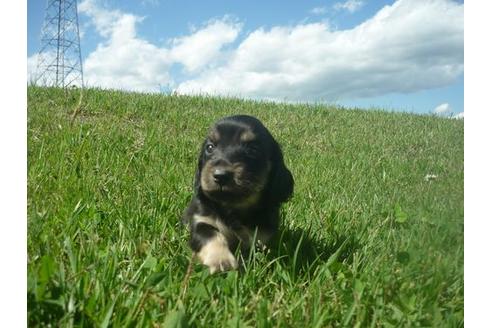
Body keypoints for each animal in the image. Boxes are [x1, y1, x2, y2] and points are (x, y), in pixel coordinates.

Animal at [183, 115, 294, 274]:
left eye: (252, 150)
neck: (233, 208)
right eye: (210, 147)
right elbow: (210, 234)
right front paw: (221, 260)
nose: (220, 176)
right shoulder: (201, 220)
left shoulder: (261, 238)